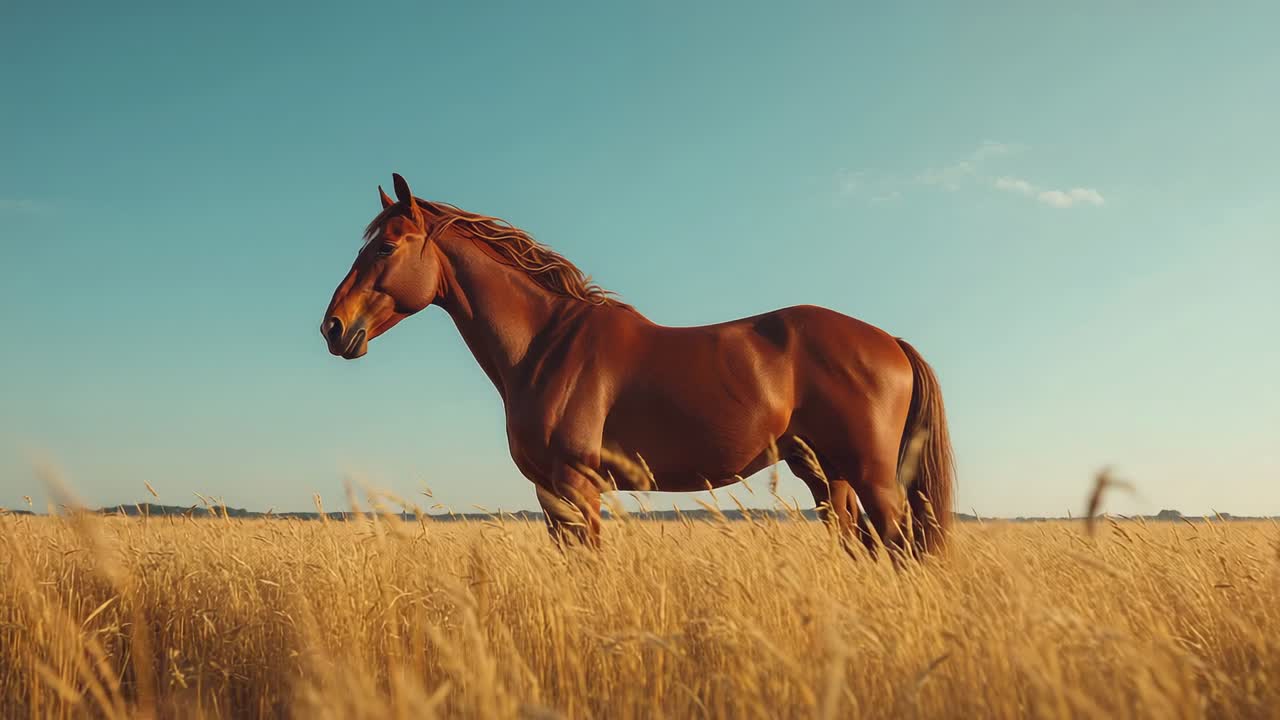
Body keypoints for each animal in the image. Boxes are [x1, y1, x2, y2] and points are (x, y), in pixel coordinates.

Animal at [321, 174, 955, 555]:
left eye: (386, 246)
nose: (333, 327)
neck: (545, 344)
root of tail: (889, 342)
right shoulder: (550, 494)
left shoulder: (577, 487)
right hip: (829, 477)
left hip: (873, 479)